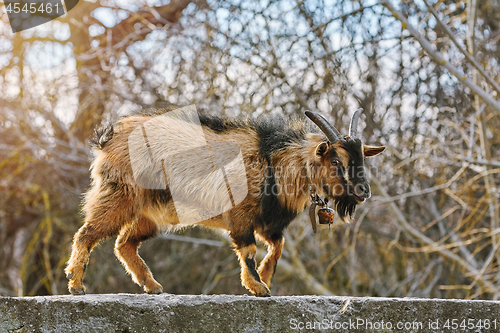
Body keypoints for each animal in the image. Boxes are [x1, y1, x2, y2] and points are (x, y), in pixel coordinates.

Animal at [64, 105, 384, 294]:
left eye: (361, 158)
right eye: (336, 161)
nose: (364, 191)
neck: (272, 160)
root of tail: (108, 137)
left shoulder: (268, 222)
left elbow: (277, 247)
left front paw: (265, 278)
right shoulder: (241, 215)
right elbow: (249, 250)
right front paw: (257, 287)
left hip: (149, 214)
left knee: (124, 244)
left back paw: (152, 286)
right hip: (119, 197)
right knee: (87, 233)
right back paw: (76, 284)